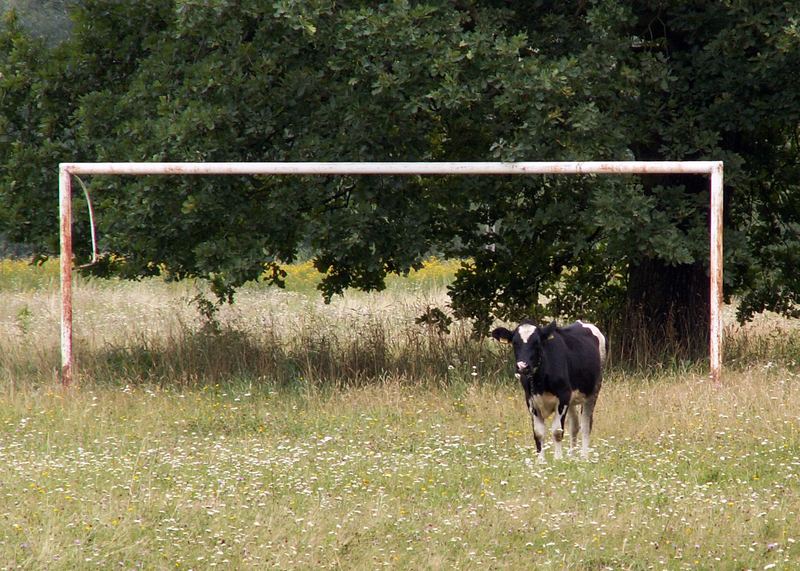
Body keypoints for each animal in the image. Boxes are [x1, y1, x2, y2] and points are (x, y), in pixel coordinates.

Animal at [488, 320, 608, 462]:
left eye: (537, 343)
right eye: (515, 342)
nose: (522, 366)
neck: (540, 381)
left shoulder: (563, 397)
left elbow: (557, 431)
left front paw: (558, 459)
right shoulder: (531, 400)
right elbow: (538, 433)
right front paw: (541, 461)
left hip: (593, 391)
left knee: (586, 424)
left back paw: (584, 457)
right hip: (572, 399)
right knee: (574, 426)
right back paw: (572, 456)